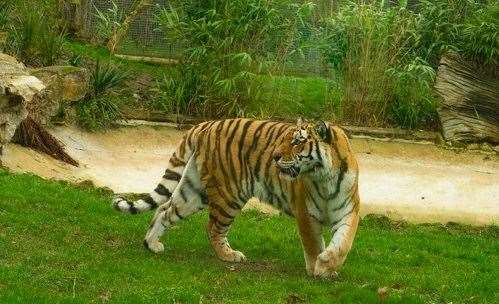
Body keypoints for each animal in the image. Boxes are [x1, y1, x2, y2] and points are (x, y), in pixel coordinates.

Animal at [113, 119, 360, 278]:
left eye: (297, 142)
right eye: (285, 139)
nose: (275, 156)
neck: (324, 177)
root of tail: (204, 125)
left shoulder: (349, 212)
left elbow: (343, 244)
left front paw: (327, 266)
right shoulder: (305, 214)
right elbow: (313, 244)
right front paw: (317, 268)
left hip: (194, 191)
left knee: (165, 209)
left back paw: (152, 244)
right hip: (228, 195)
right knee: (213, 228)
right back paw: (229, 255)